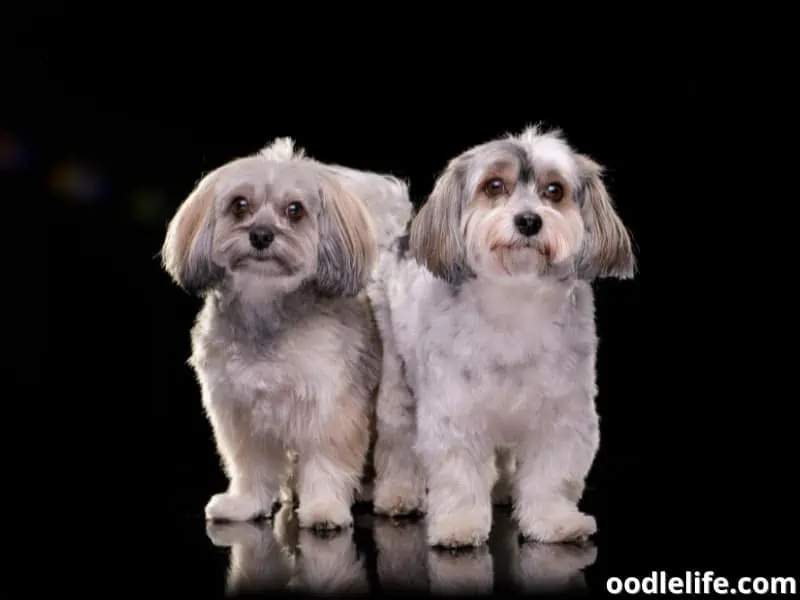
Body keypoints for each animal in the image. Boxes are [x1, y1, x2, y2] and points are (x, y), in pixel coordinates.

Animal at [162, 139, 412, 528]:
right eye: (240, 205)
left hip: (392, 400)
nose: (261, 235)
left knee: (397, 450)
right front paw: (245, 504)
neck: (266, 309)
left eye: (295, 210)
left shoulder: (329, 408)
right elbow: (251, 468)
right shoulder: (241, 414)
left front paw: (324, 509)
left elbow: (326, 462)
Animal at [370, 124, 636, 548]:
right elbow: (459, 475)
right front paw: (459, 524)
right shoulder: (454, 411)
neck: (516, 302)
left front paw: (554, 521)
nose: (528, 221)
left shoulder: (561, 413)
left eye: (554, 190)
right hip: (397, 378)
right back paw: (398, 495)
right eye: (494, 186)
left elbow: (551, 474)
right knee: (397, 440)